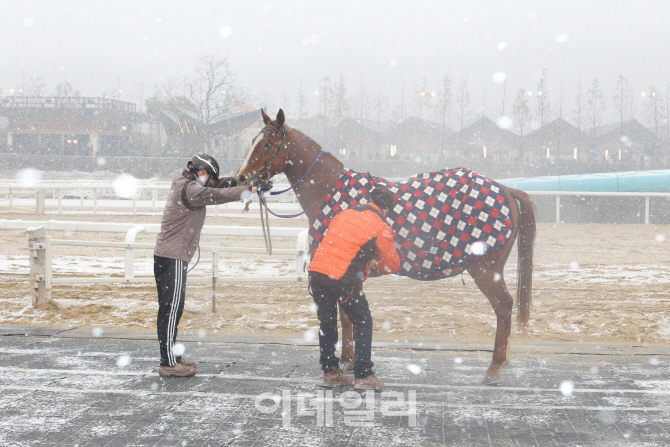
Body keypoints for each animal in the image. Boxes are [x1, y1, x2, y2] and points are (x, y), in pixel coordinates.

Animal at [234, 108, 540, 384]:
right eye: (253, 141)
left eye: (268, 144)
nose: (240, 178)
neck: (330, 192)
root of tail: (506, 189)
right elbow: (347, 316)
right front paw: (349, 360)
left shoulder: (341, 273)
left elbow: (344, 316)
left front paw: (346, 361)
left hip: (485, 269)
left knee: (504, 306)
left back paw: (494, 367)